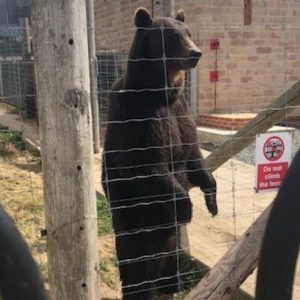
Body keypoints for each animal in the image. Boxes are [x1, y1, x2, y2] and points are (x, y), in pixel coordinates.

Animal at [102, 7, 217, 300]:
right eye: (173, 36)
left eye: (189, 33)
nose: (196, 53)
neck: (162, 92)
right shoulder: (138, 117)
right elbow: (146, 165)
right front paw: (186, 207)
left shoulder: (180, 113)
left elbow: (192, 155)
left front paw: (211, 201)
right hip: (133, 222)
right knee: (135, 264)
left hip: (169, 244)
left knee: (169, 262)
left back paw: (169, 285)